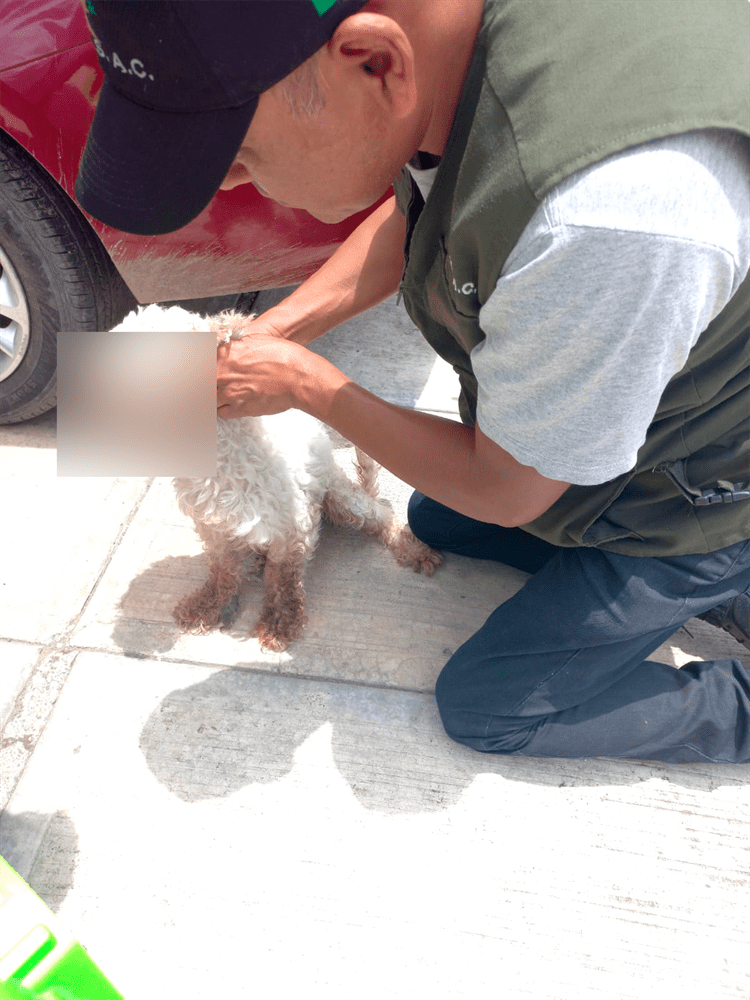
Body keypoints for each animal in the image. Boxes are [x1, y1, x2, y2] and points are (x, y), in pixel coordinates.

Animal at [111, 302, 440, 648]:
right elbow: (222, 570)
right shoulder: (213, 527)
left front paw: (280, 621)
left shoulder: (293, 527)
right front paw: (207, 606)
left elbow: (283, 578)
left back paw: (413, 549)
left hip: (341, 499)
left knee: (380, 513)